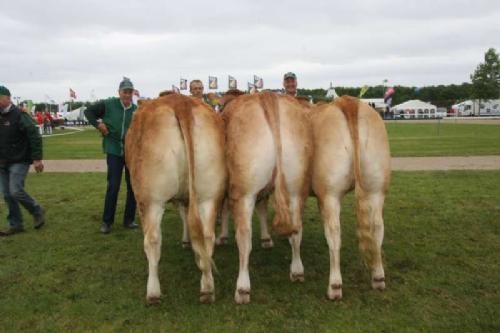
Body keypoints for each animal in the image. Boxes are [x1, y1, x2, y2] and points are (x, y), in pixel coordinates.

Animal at [125, 93, 227, 304]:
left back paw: (153, 292)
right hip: (209, 194)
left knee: (152, 239)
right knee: (207, 235)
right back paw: (207, 287)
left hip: (150, 199)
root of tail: (180, 102)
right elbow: (188, 216)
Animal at [224, 91, 312, 304]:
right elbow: (263, 209)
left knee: (244, 236)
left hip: (244, 191)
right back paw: (297, 271)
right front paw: (266, 239)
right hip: (297, 187)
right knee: (297, 230)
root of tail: (266, 95)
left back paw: (242, 288)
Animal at [310, 94, 392, 300]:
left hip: (329, 194)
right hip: (376, 189)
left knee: (333, 232)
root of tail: (347, 102)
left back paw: (334, 286)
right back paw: (378, 278)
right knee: (377, 228)